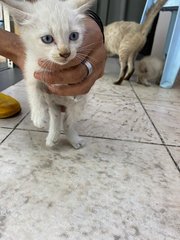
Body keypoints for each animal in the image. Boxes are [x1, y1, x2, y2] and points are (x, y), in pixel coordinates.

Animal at [2, 0, 94, 148]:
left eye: (74, 36)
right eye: (47, 39)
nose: (65, 53)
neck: (55, 67)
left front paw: (75, 93)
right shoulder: (31, 69)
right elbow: (33, 89)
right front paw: (38, 115)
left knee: (68, 121)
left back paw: (73, 137)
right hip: (52, 101)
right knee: (56, 116)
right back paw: (53, 137)